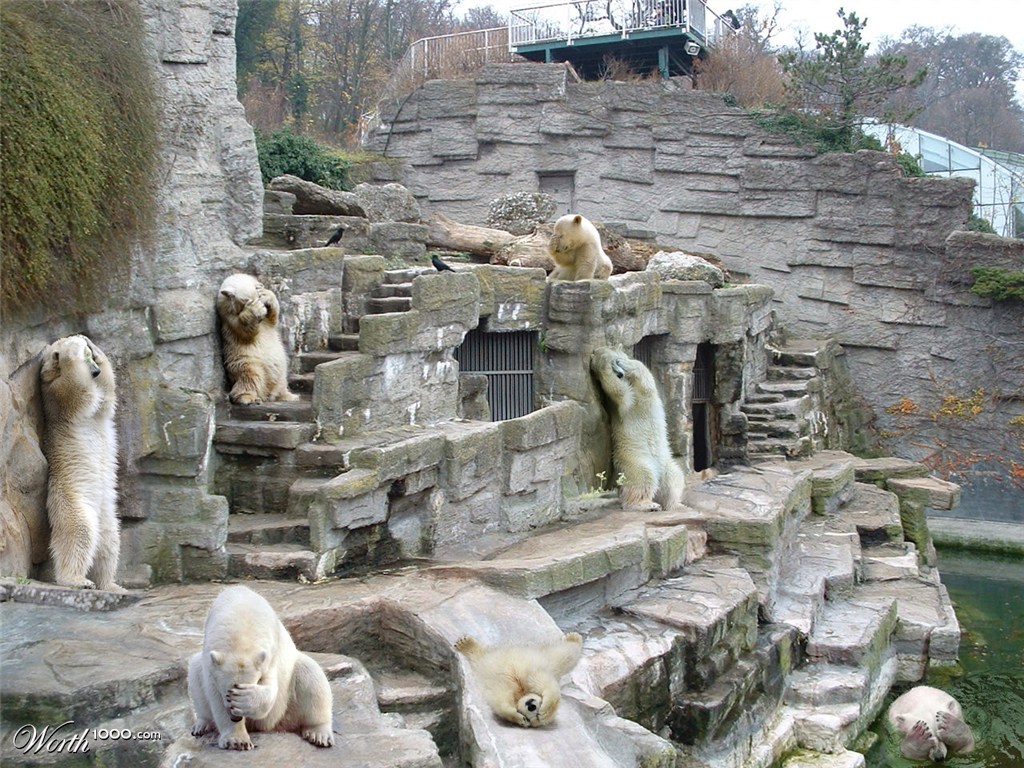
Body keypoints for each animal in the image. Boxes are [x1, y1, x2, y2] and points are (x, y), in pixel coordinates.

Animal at [38, 334, 122, 591]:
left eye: (90, 356)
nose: (94, 370)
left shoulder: (100, 407)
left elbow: (106, 397)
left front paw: (96, 349)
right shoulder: (55, 399)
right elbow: (79, 392)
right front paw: (70, 348)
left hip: (107, 516)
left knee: (109, 543)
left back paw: (110, 584)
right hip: (71, 499)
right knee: (79, 533)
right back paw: (77, 580)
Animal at [188, 585, 334, 750]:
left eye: (235, 691)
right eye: (227, 693)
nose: (235, 718)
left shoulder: (270, 654)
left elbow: (270, 690)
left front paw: (245, 699)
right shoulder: (210, 662)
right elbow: (214, 697)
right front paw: (237, 740)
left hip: (288, 704)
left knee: (311, 675)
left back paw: (319, 734)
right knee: (195, 672)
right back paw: (202, 725)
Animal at [216, 273, 298, 405]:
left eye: (259, 295)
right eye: (247, 300)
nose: (262, 311)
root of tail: (267, 394)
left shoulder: (267, 321)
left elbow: (273, 317)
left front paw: (267, 295)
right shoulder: (228, 317)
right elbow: (244, 331)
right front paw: (255, 309)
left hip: (281, 373)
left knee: (281, 380)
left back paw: (288, 395)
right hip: (247, 363)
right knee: (250, 377)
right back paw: (248, 398)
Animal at [454, 632, 583, 728]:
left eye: (534, 716)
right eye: (537, 708)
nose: (531, 705)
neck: (521, 692)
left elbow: (500, 699)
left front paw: (519, 718)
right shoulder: (529, 676)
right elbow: (542, 682)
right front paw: (545, 710)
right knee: (564, 656)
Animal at [590, 346, 685, 511]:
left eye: (617, 360)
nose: (620, 372)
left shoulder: (644, 393)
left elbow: (645, 376)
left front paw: (625, 362)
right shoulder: (623, 404)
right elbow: (619, 391)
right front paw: (601, 360)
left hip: (667, 465)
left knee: (675, 479)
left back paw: (674, 504)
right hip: (634, 460)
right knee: (643, 477)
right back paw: (647, 504)